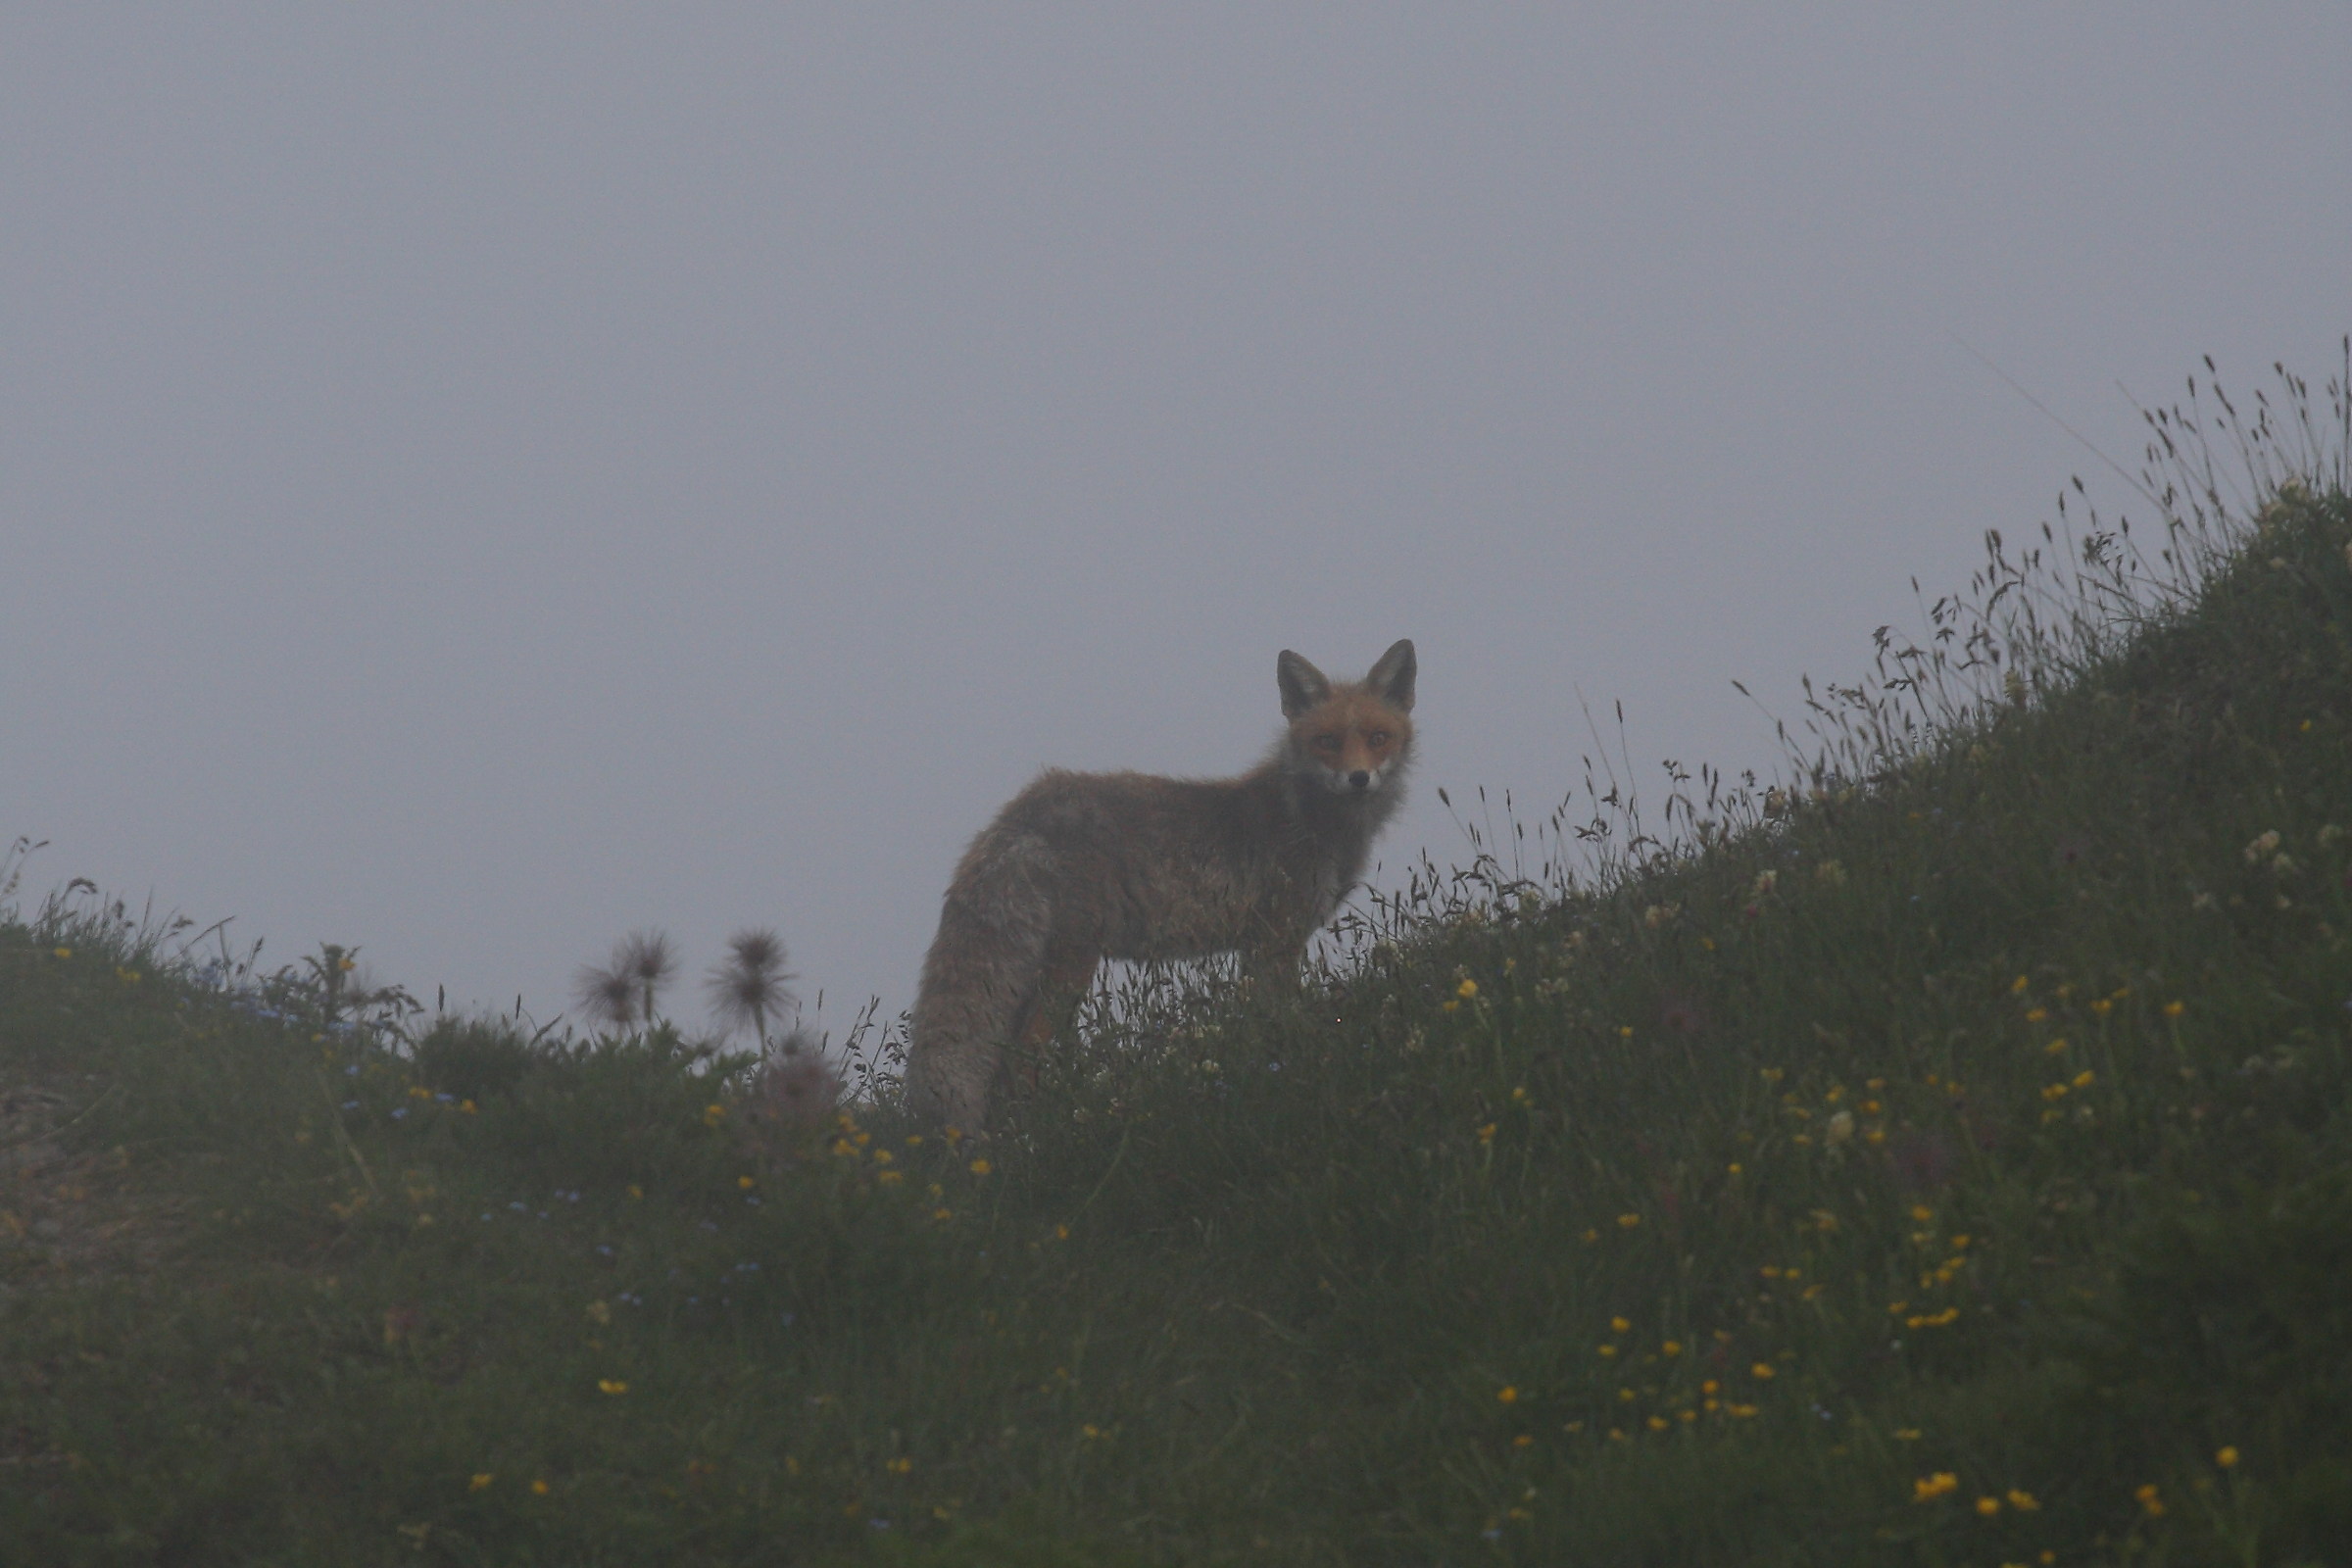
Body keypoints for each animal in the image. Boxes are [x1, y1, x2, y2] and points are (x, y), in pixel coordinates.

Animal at [902, 639, 1417, 1134]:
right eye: (1327, 741)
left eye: (1378, 738)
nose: (1358, 779)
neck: (1306, 818)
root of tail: (1013, 817)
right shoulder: (1276, 939)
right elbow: (1282, 1022)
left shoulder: (1257, 945)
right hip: (1071, 964)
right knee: (1020, 1060)